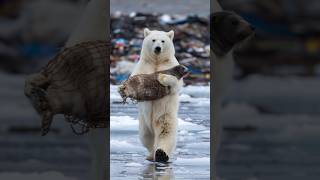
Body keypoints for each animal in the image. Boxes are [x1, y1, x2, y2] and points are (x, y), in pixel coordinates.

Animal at [131, 28, 182, 163]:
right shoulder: (143, 66)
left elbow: (175, 82)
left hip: (166, 116)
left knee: (166, 132)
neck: (157, 61)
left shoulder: (170, 65)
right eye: (153, 40)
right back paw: (151, 154)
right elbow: (136, 81)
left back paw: (161, 154)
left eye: (163, 41)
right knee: (146, 137)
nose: (158, 48)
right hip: (143, 122)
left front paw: (162, 77)